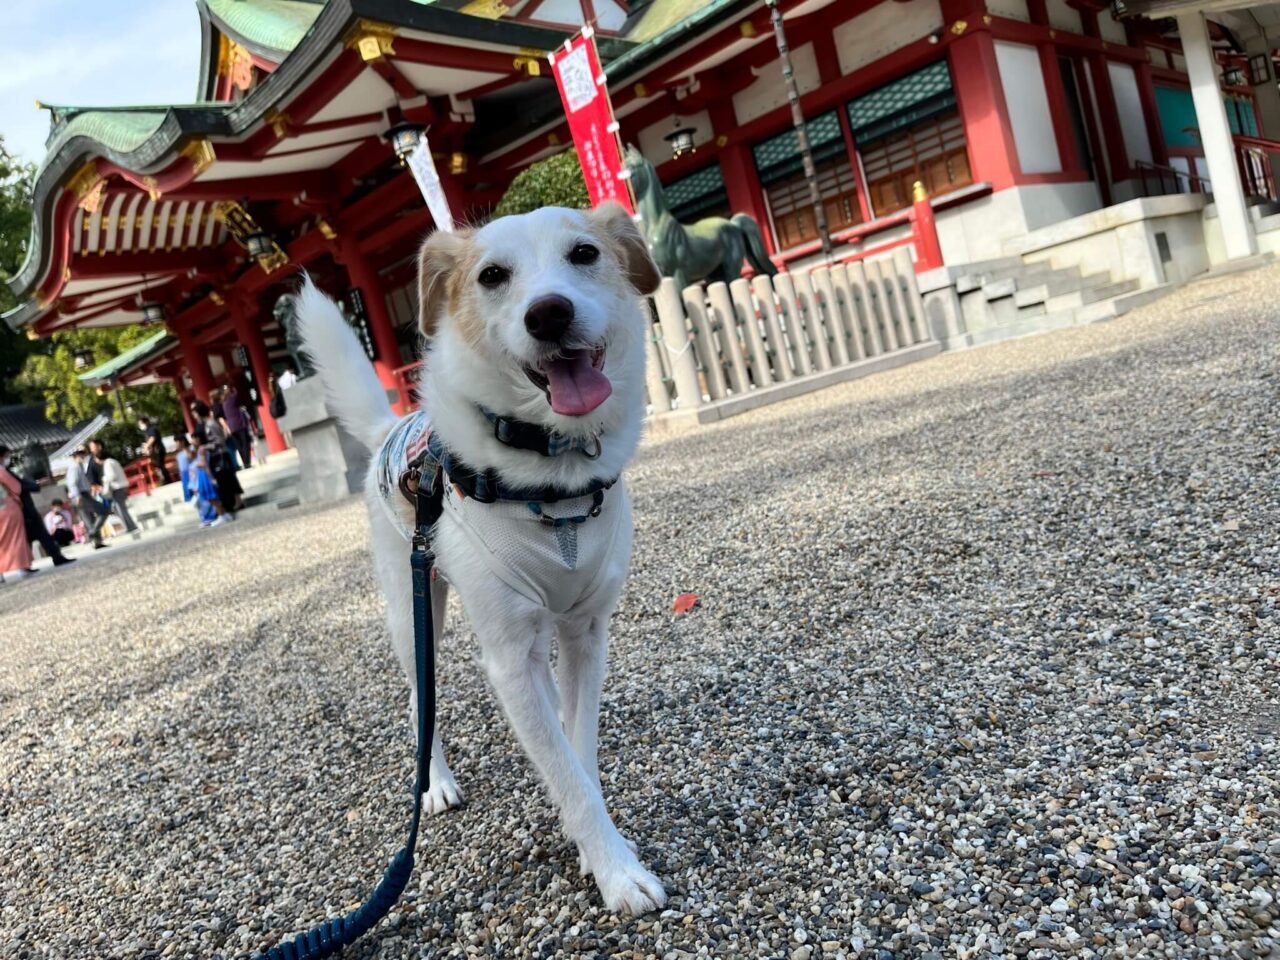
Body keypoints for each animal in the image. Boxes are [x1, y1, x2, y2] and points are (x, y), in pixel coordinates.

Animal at [293, 200, 665, 916]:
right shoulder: (508, 655)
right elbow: (566, 773)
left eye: (584, 253)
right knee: (420, 703)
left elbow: (577, 751)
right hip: (414, 607)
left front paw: (598, 846)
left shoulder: (586, 633)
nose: (547, 313)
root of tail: (389, 430)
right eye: (493, 275)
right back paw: (433, 783)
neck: (551, 468)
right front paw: (617, 872)